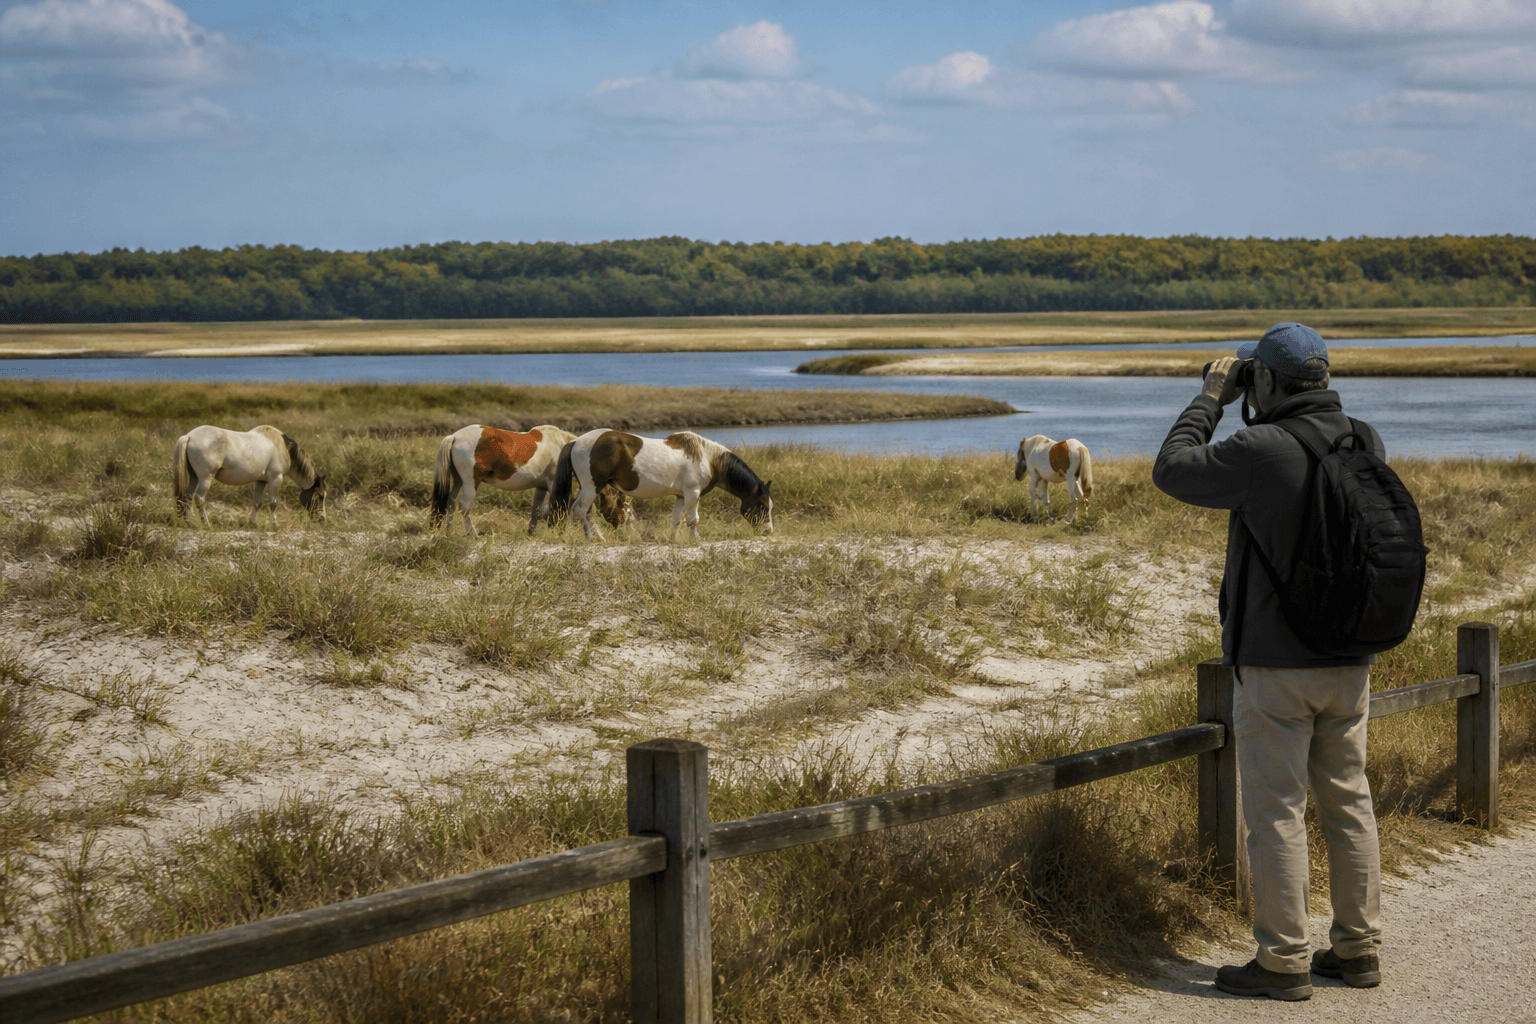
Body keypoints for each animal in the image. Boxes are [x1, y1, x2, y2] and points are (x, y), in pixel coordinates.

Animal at [172, 425, 326, 528]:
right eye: (320, 496)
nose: (322, 518)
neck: (282, 446)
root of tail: (189, 436)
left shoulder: (261, 481)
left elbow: (257, 503)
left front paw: (252, 523)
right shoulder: (275, 479)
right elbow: (273, 504)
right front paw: (274, 525)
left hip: (194, 477)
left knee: (188, 497)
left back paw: (189, 521)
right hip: (205, 478)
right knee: (199, 499)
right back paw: (206, 524)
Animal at [551, 429, 772, 541]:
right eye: (762, 505)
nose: (768, 531)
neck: (707, 457)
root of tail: (575, 441)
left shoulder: (681, 496)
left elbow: (676, 520)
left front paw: (672, 540)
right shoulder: (693, 493)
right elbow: (692, 520)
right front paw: (696, 541)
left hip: (590, 489)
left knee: (584, 511)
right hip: (592, 488)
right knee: (578, 510)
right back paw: (580, 538)